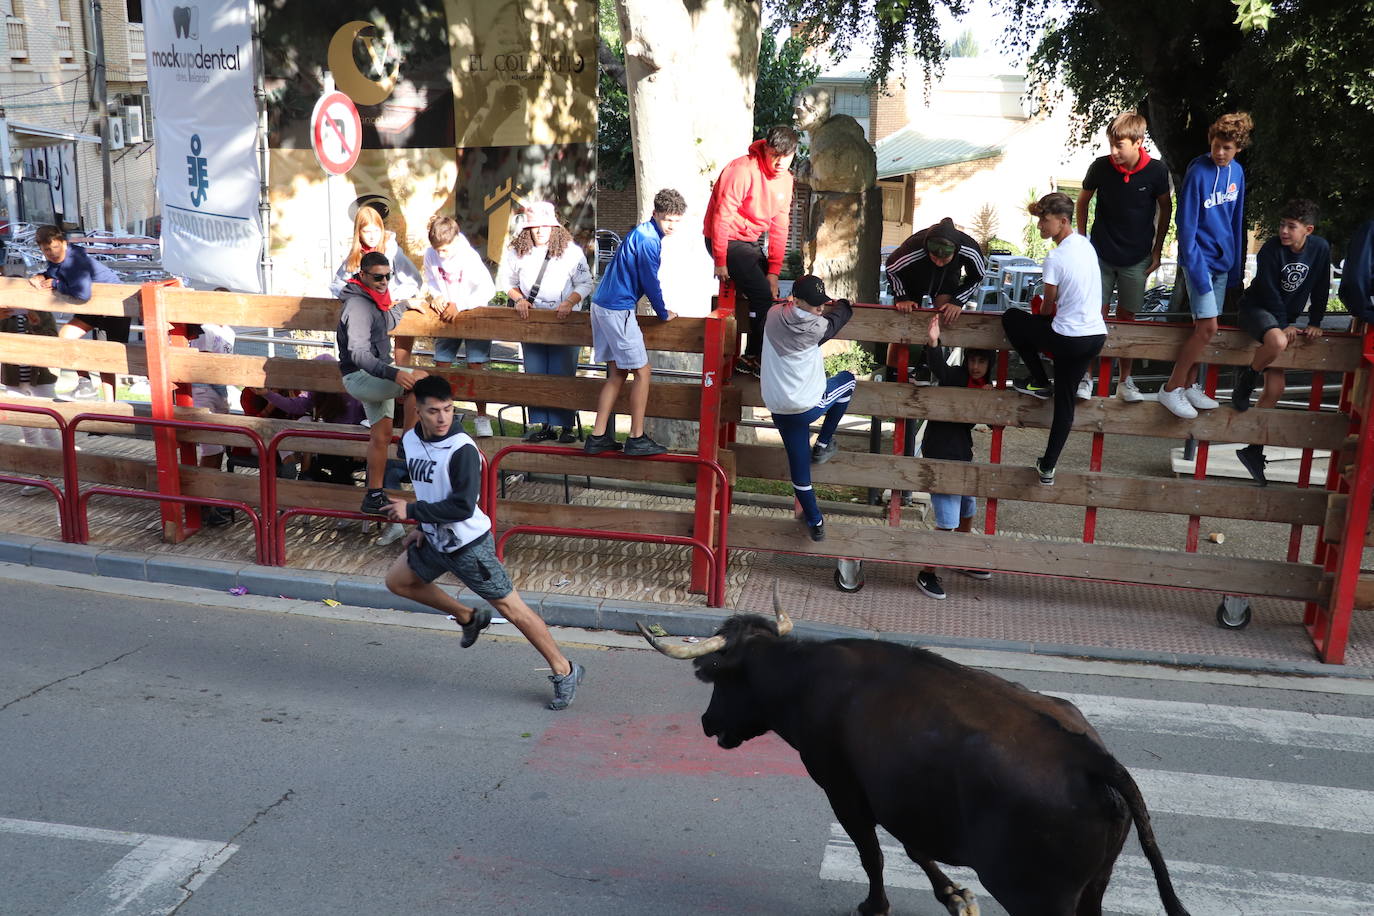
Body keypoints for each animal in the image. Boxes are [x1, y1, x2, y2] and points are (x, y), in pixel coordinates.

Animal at [643, 596, 1192, 916]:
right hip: (1094, 886)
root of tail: (1091, 758)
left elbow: (872, 852)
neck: (805, 679)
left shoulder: (842, 787)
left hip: (1040, 897)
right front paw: (955, 897)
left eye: (716, 676)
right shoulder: (901, 797)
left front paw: (876, 906)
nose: (707, 722)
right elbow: (912, 848)